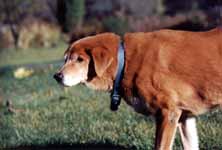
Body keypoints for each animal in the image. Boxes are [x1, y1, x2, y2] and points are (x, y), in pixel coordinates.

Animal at [53, 27, 222, 149]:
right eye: (66, 59)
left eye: (80, 59)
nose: (57, 76)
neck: (125, 60)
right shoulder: (185, 116)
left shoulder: (168, 113)